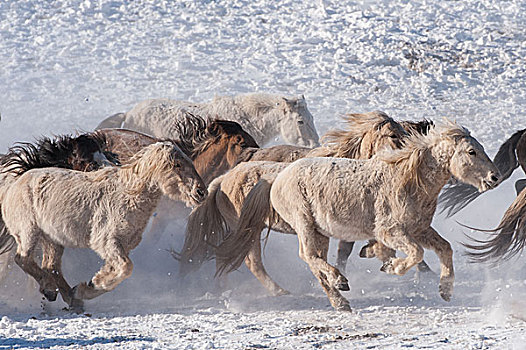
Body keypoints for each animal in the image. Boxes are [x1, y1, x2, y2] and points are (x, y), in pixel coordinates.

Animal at [179, 111, 436, 292]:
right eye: (393, 135)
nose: (408, 156)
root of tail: (221, 181)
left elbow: (348, 250)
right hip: (248, 229)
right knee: (250, 262)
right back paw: (278, 291)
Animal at [217, 121, 502, 310]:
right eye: (472, 152)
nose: (495, 177)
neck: (407, 180)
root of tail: (276, 177)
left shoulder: (419, 229)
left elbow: (445, 248)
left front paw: (445, 290)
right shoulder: (392, 231)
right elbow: (416, 253)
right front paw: (391, 266)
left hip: (320, 231)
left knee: (315, 260)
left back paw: (339, 298)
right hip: (304, 223)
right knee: (307, 256)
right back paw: (339, 283)